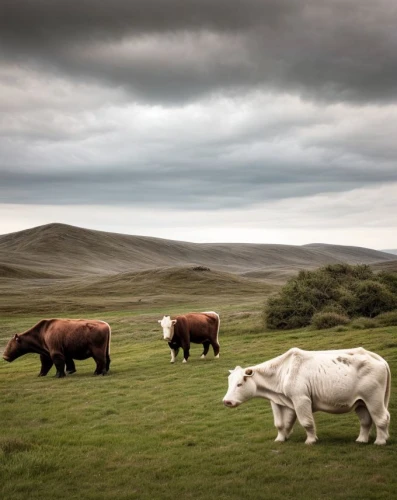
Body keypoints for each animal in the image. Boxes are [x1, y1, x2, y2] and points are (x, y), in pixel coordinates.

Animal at [223, 348, 390, 446]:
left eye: (239, 384)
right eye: (229, 383)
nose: (226, 401)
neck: (283, 372)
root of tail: (378, 358)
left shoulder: (301, 399)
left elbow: (306, 422)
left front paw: (310, 440)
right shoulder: (280, 402)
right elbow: (282, 424)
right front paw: (281, 439)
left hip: (373, 399)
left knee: (381, 418)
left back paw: (380, 441)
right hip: (361, 402)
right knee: (366, 421)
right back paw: (362, 440)